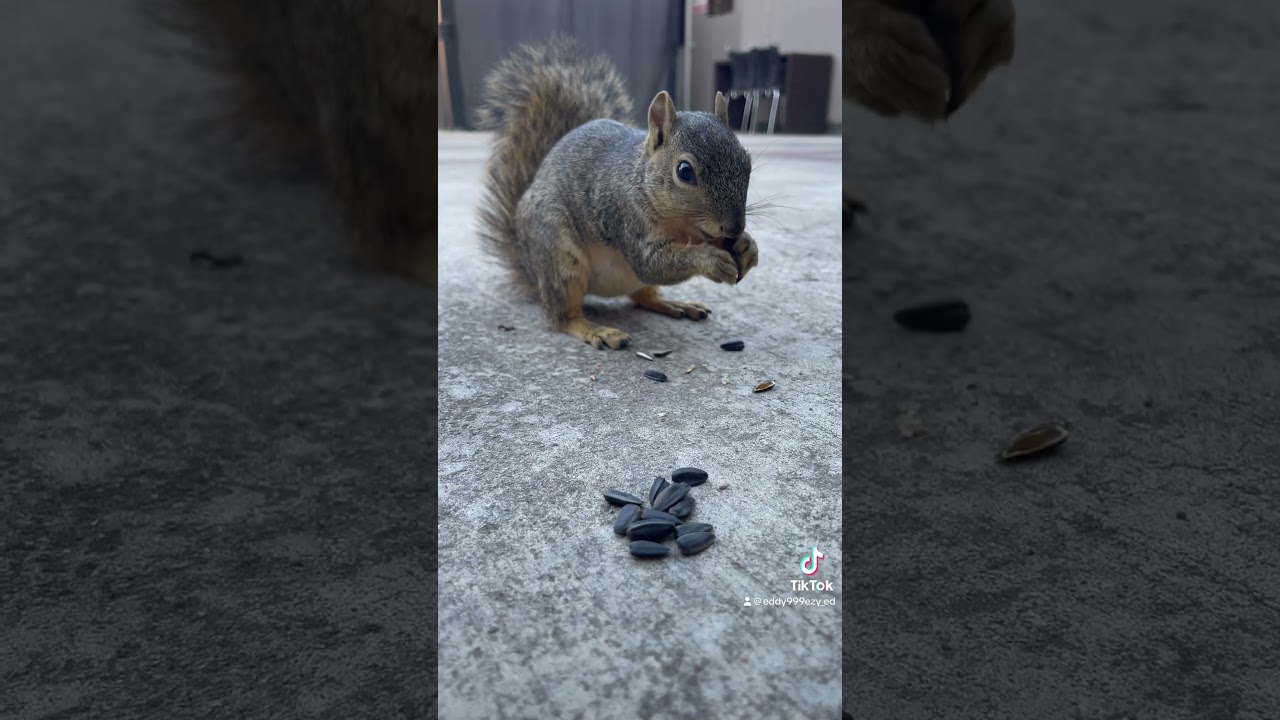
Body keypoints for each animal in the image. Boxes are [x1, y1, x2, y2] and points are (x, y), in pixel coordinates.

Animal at [474, 38, 760, 351]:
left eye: (747, 162)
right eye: (684, 171)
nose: (735, 227)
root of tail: (530, 266)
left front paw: (747, 247)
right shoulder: (624, 214)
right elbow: (651, 263)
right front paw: (710, 260)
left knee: (643, 297)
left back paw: (675, 304)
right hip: (559, 257)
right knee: (561, 317)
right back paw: (596, 330)